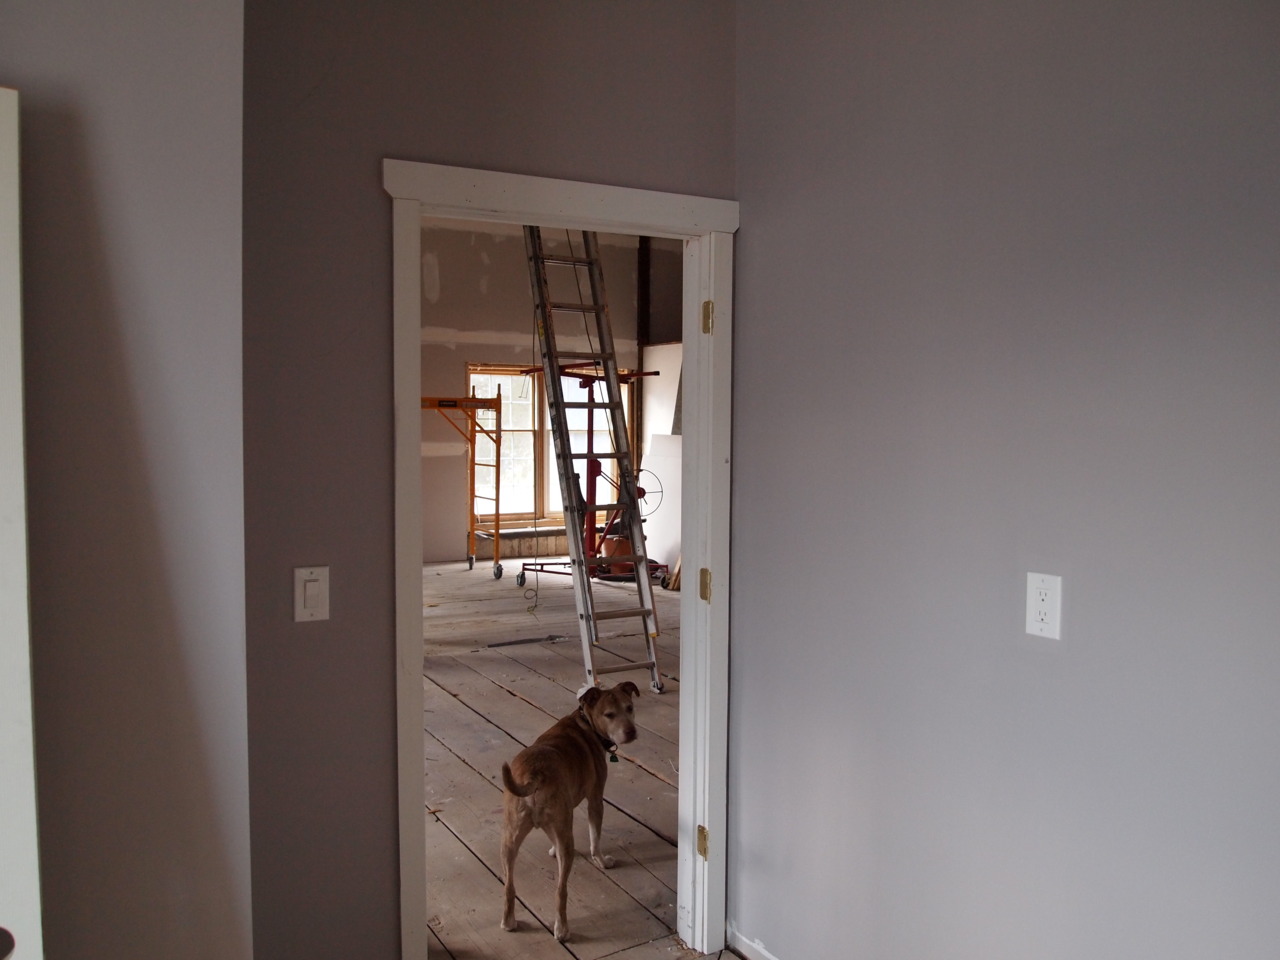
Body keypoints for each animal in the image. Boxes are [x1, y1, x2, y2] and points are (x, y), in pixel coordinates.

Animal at [500, 680, 640, 942]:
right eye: (609, 714)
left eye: (630, 708)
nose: (631, 732)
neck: (585, 722)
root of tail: (535, 774)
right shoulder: (595, 800)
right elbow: (595, 839)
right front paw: (602, 861)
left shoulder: (556, 822)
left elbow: (552, 838)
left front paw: (552, 850)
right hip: (566, 841)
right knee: (560, 891)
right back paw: (562, 929)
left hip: (509, 839)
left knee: (509, 885)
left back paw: (509, 922)